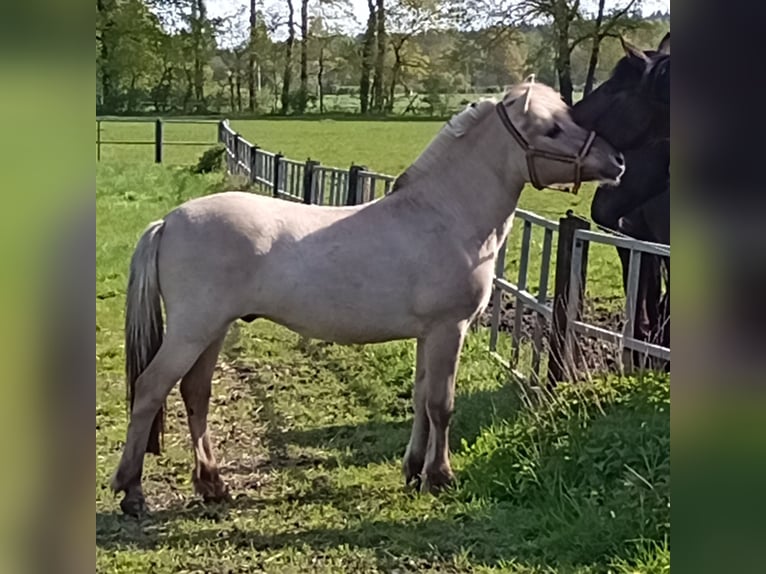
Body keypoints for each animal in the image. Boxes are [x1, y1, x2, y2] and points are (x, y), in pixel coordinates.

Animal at [111, 81, 628, 516]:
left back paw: (213, 485)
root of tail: (168, 221)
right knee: (152, 388)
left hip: (214, 330)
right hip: (192, 329)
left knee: (195, 393)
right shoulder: (449, 328)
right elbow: (441, 404)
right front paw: (440, 477)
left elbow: (421, 398)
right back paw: (132, 492)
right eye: (552, 127)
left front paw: (414, 470)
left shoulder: (429, 334)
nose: (618, 161)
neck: (444, 214)